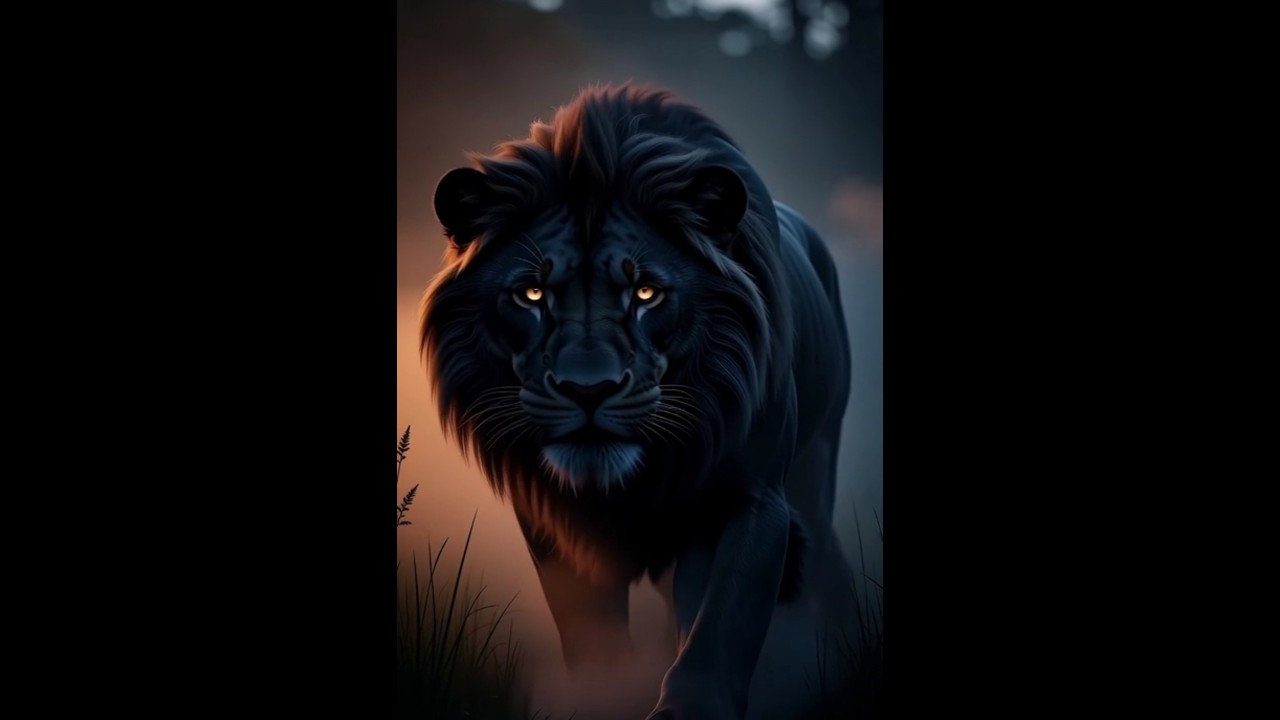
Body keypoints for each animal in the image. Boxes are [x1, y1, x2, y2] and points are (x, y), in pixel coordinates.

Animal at [420, 84, 856, 720]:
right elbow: (592, 638)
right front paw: (604, 694)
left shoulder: (747, 497)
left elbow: (719, 626)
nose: (588, 388)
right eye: (531, 294)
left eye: (646, 292)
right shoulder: (554, 523)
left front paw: (689, 707)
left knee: (827, 567)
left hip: (815, 472)